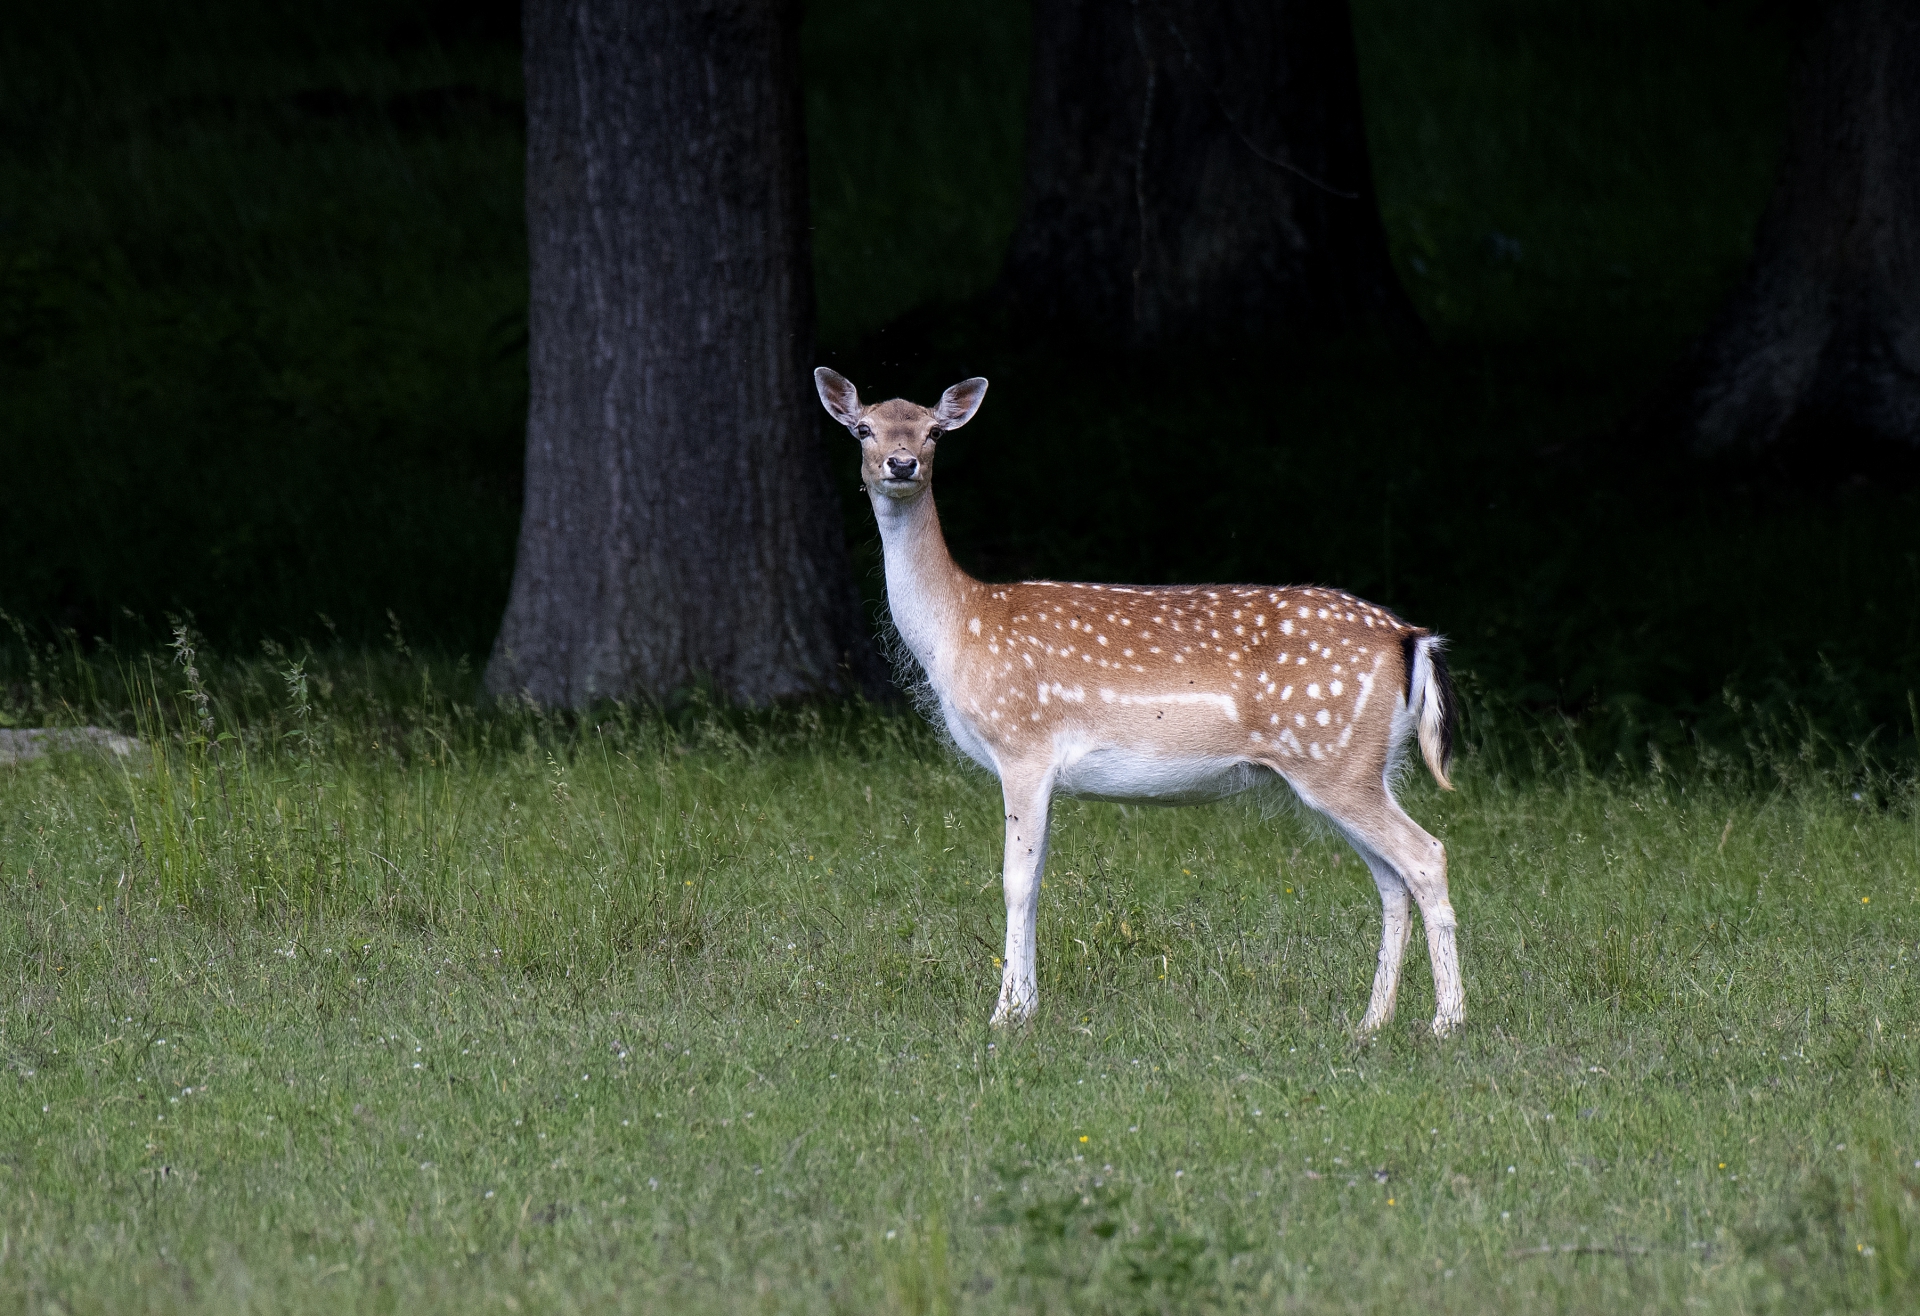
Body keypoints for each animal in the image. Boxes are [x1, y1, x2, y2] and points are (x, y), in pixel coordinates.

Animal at [817, 365, 1459, 1029]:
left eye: (935, 433)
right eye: (863, 427)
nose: (900, 463)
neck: (958, 629)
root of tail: (1413, 640)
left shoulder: (1023, 744)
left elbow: (1016, 880)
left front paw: (1006, 1014)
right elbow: (1038, 877)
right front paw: (1029, 1005)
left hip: (1337, 761)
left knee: (1427, 855)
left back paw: (1446, 1022)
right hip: (1354, 767)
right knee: (1391, 881)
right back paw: (1370, 1023)